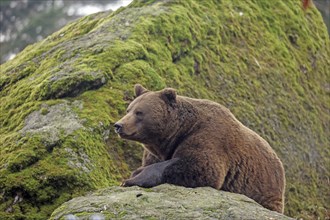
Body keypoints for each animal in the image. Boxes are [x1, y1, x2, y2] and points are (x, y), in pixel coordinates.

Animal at [114, 84, 284, 213]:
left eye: (139, 112)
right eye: (128, 109)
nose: (118, 125)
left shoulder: (210, 137)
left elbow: (200, 167)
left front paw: (131, 178)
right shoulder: (156, 152)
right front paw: (133, 174)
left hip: (263, 190)